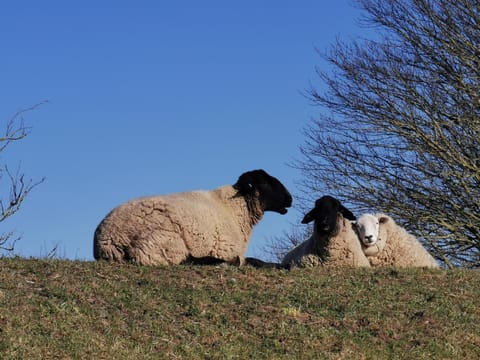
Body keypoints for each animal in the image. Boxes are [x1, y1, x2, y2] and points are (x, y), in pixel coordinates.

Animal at [91, 168, 292, 264]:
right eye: (265, 183)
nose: (290, 199)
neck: (235, 207)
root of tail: (107, 239)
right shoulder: (225, 248)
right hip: (163, 241)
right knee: (182, 260)